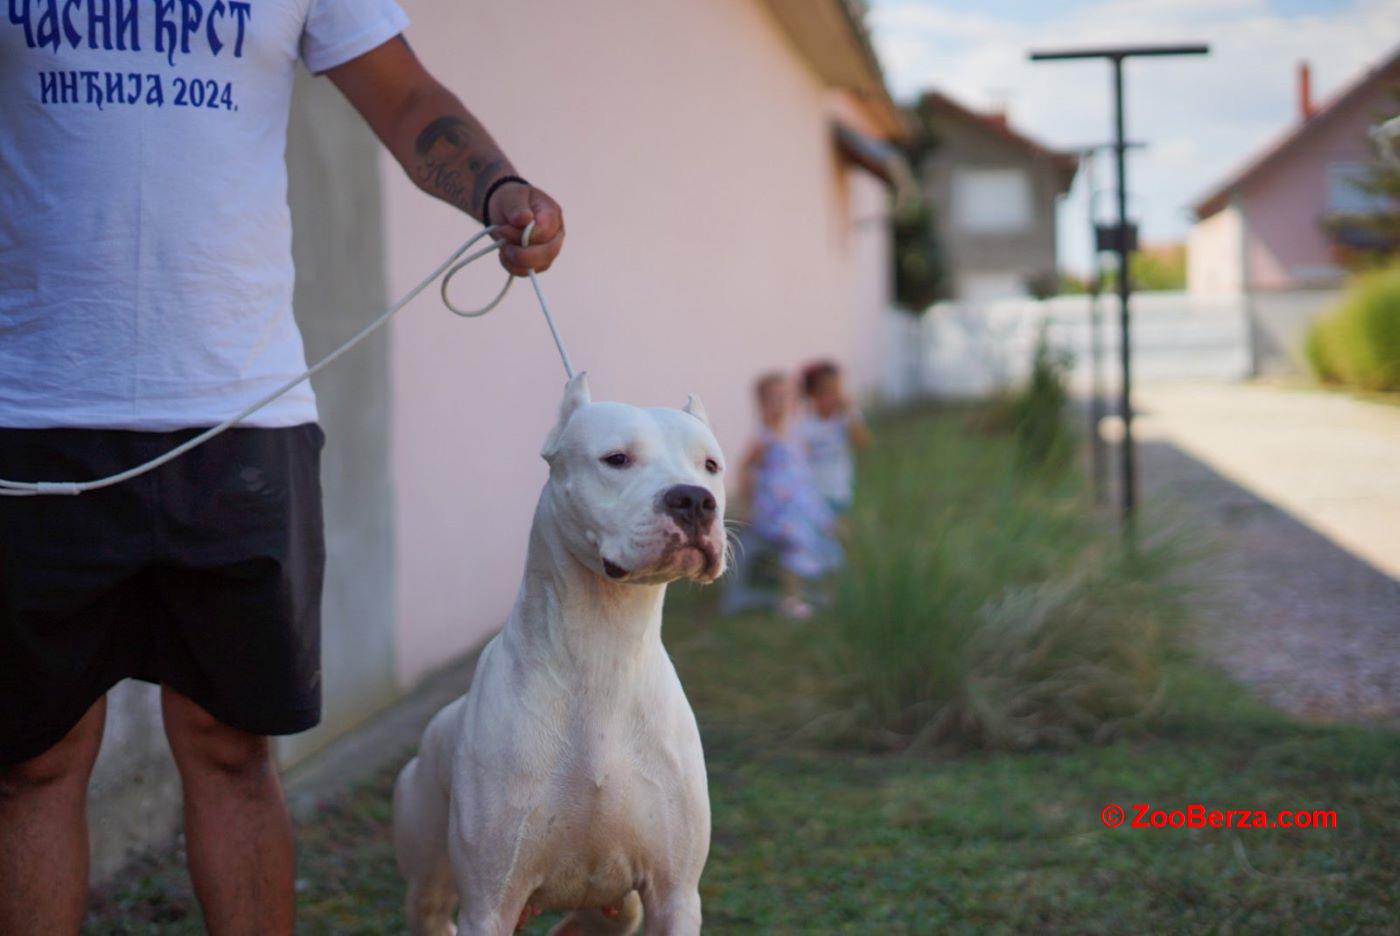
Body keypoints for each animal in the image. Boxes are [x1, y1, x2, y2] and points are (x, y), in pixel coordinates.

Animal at [392, 374, 728, 934]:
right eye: (616, 459)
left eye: (711, 465)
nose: (695, 500)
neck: (604, 649)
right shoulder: (489, 903)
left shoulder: (674, 895)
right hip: (429, 882)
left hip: (619, 908)